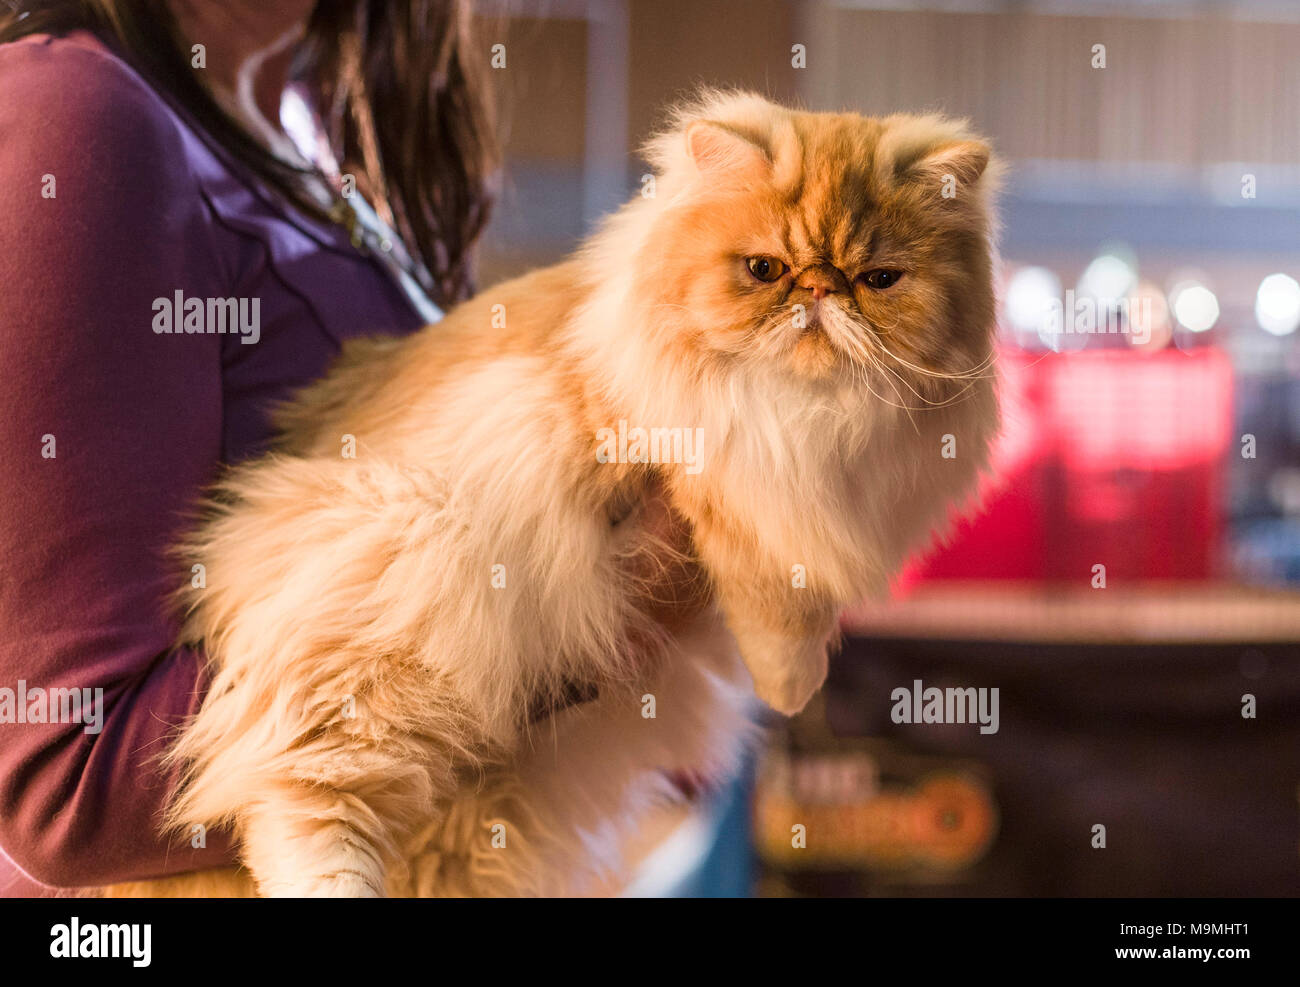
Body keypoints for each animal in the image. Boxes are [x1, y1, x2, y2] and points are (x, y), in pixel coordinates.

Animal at [106, 91, 998, 894]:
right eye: (763, 271)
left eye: (879, 279)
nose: (820, 292)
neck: (813, 410)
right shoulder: (702, 473)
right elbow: (768, 594)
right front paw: (791, 685)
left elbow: (802, 592)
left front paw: (798, 675)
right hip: (394, 596)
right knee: (301, 799)